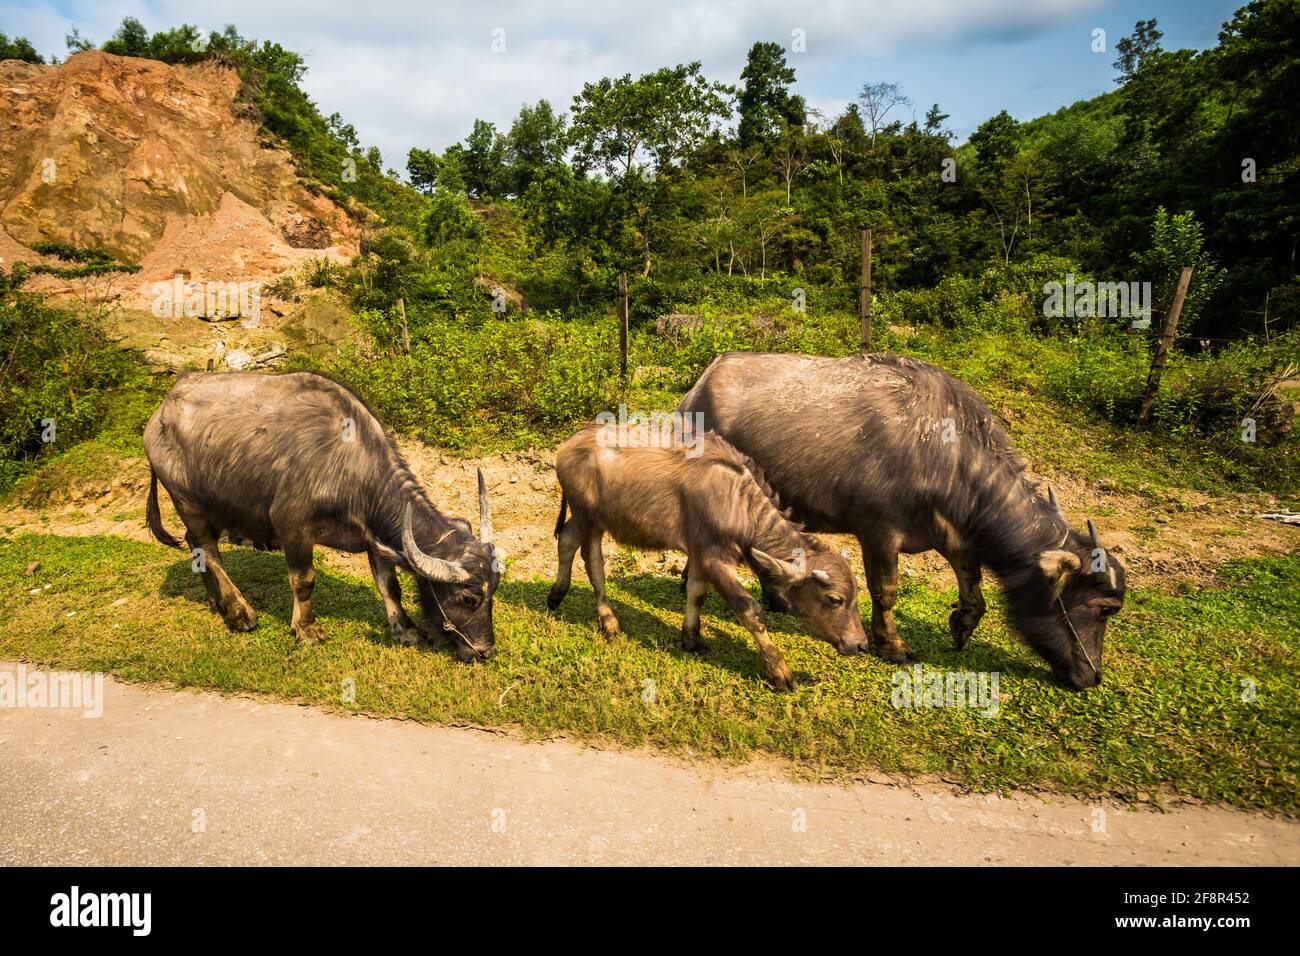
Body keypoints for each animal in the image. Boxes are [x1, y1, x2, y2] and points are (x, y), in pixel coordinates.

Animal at [144, 369, 499, 660]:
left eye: (493, 593)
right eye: (469, 598)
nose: (485, 651)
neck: (349, 465)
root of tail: (160, 413)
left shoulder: (377, 537)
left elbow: (389, 585)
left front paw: (405, 630)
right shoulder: (293, 527)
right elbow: (304, 581)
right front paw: (306, 629)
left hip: (217, 507)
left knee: (196, 546)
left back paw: (217, 602)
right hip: (187, 500)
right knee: (209, 551)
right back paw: (239, 612)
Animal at [543, 421, 868, 691]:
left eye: (854, 596)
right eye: (834, 599)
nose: (861, 644)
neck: (738, 503)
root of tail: (570, 444)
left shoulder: (699, 555)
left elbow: (696, 594)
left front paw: (691, 639)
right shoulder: (715, 558)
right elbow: (748, 608)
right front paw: (779, 671)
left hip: (589, 518)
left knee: (567, 540)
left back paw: (555, 596)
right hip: (588, 516)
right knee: (592, 561)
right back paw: (608, 620)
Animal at [681, 351, 1128, 686]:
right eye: (1105, 608)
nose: (1092, 677)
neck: (942, 453)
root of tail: (697, 390)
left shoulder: (954, 535)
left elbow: (974, 590)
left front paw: (961, 626)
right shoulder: (879, 532)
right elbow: (886, 591)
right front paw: (891, 645)